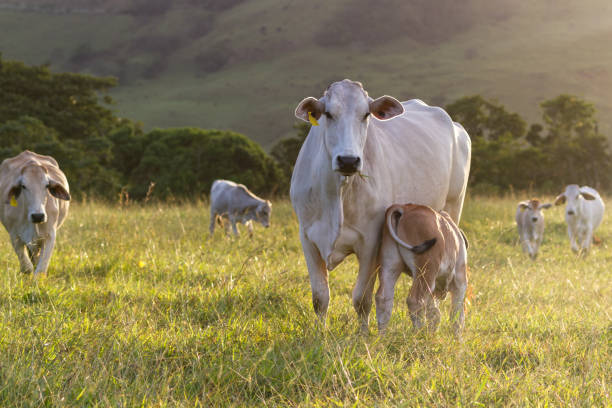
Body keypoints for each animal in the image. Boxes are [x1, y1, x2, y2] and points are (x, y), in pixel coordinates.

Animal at [372, 203, 468, 334]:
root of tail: (405, 208)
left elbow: (435, 313)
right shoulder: (460, 282)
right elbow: (457, 318)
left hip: (390, 265)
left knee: (383, 299)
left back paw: (382, 336)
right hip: (427, 270)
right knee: (415, 301)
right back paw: (419, 333)